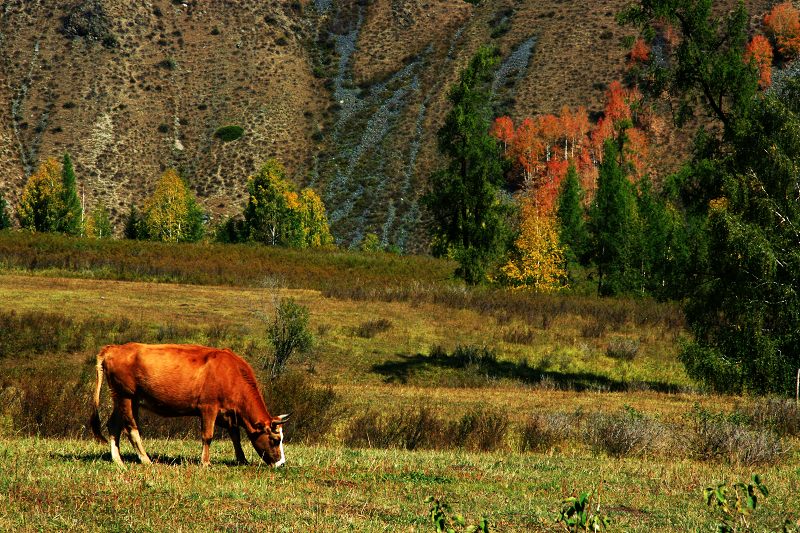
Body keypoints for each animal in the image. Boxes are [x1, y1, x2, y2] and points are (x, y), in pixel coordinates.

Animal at [90, 342, 290, 468]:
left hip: (123, 398)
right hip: (126, 396)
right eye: (275, 440)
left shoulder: (229, 413)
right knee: (131, 427)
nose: (281, 464)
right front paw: (205, 462)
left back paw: (118, 460)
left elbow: (235, 436)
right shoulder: (208, 407)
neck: (231, 373)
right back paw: (145, 459)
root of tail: (114, 349)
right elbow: (207, 436)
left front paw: (242, 460)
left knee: (114, 425)